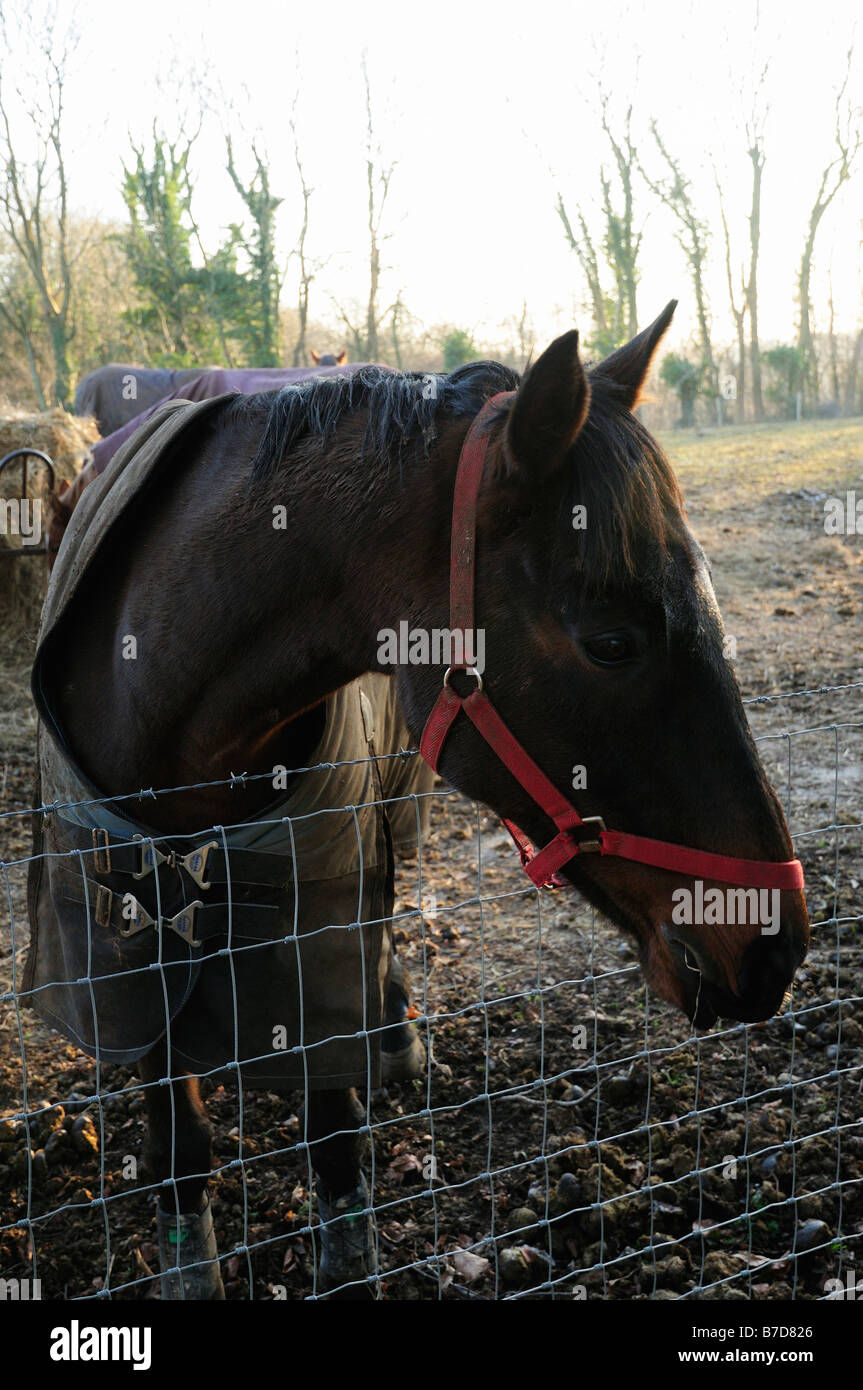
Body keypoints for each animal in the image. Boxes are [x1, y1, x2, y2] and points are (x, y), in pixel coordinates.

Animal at [26, 301, 809, 1299]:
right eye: (610, 642)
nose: (772, 946)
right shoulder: (125, 942)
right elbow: (178, 1142)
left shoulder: (320, 919)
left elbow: (334, 1131)